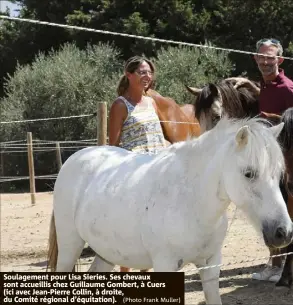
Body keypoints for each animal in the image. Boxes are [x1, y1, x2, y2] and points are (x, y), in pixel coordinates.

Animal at [46, 117, 290, 304]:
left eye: (278, 174)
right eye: (249, 173)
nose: (283, 232)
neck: (191, 202)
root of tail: (75, 158)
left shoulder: (211, 265)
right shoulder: (165, 265)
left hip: (105, 253)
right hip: (70, 246)